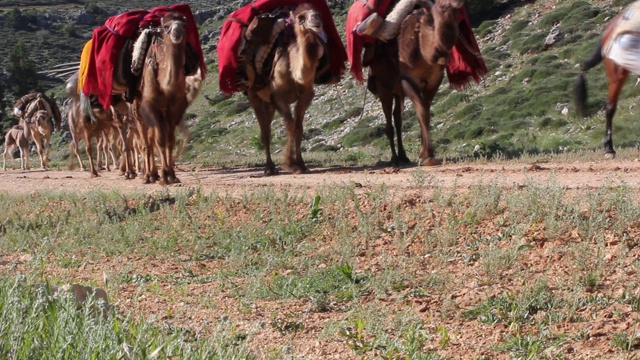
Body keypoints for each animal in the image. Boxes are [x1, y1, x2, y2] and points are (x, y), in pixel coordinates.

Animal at [131, 12, 189, 184]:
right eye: (166, 26)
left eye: (185, 25)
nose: (177, 32)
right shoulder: (153, 108)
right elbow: (161, 140)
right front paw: (165, 175)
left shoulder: (174, 110)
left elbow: (170, 140)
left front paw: (172, 175)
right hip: (137, 114)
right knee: (145, 144)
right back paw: (147, 176)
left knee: (150, 140)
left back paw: (153, 174)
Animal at [246, 3, 330, 176]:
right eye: (301, 17)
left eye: (318, 14)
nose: (316, 19)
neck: (294, 71)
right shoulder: (280, 97)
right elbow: (290, 126)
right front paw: (290, 163)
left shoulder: (305, 96)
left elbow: (298, 128)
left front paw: (302, 164)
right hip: (254, 95)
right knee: (265, 132)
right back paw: (269, 168)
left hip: (269, 103)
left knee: (268, 128)